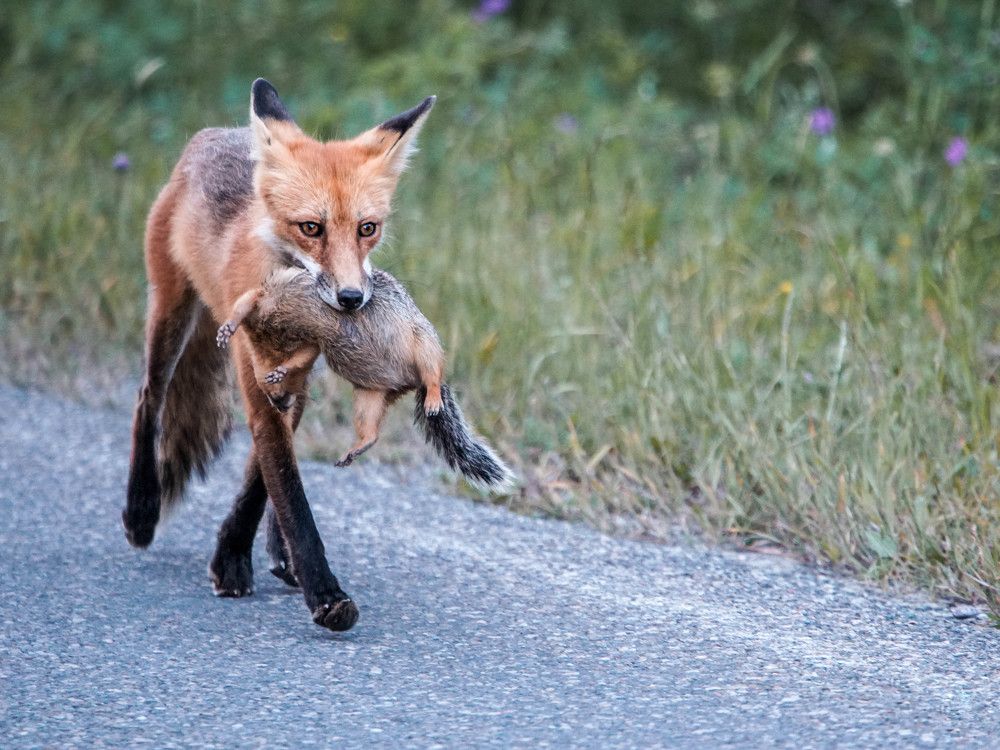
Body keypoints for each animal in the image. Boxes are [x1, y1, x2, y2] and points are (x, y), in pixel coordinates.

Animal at [124, 78, 436, 632]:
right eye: (311, 228)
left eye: (367, 228)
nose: (352, 299)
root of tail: (214, 135)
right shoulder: (257, 379)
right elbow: (288, 490)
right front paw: (324, 593)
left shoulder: (291, 380)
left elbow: (261, 481)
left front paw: (236, 553)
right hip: (170, 316)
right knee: (148, 399)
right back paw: (141, 508)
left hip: (296, 382)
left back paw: (275, 553)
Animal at [217, 264, 514, 489]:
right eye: (268, 395)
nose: (281, 405)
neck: (272, 344)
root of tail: (408, 381)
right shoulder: (283, 317)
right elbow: (247, 308)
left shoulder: (279, 300)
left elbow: (251, 308)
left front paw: (237, 337)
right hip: (369, 396)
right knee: (371, 432)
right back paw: (353, 451)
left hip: (424, 344)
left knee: (432, 374)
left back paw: (432, 398)